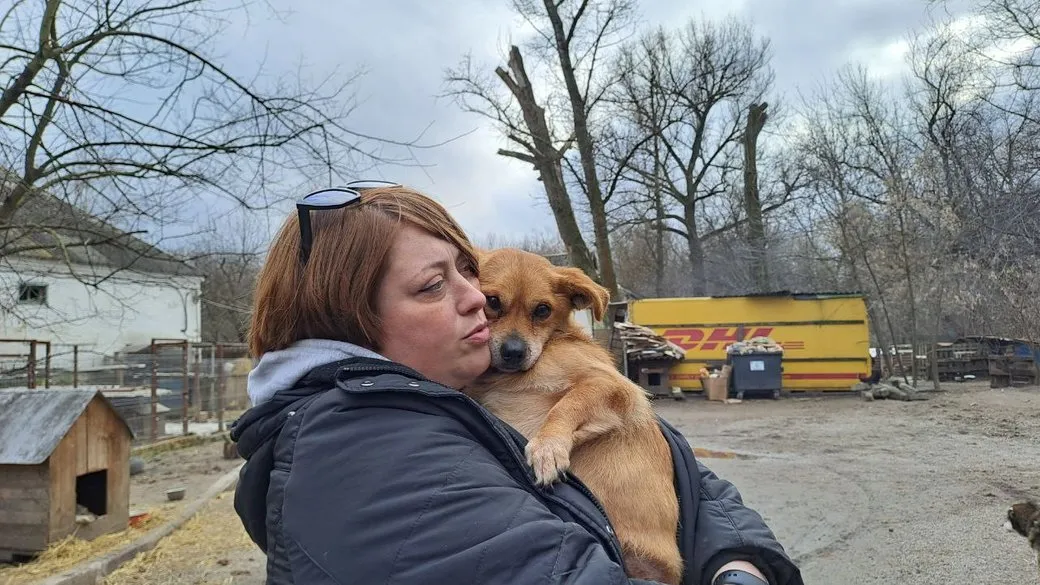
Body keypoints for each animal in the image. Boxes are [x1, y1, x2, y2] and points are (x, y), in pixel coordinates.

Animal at [465, 246, 682, 582]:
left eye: (542, 310)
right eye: (492, 302)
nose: (514, 352)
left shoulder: (613, 386)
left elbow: (566, 405)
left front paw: (548, 447)